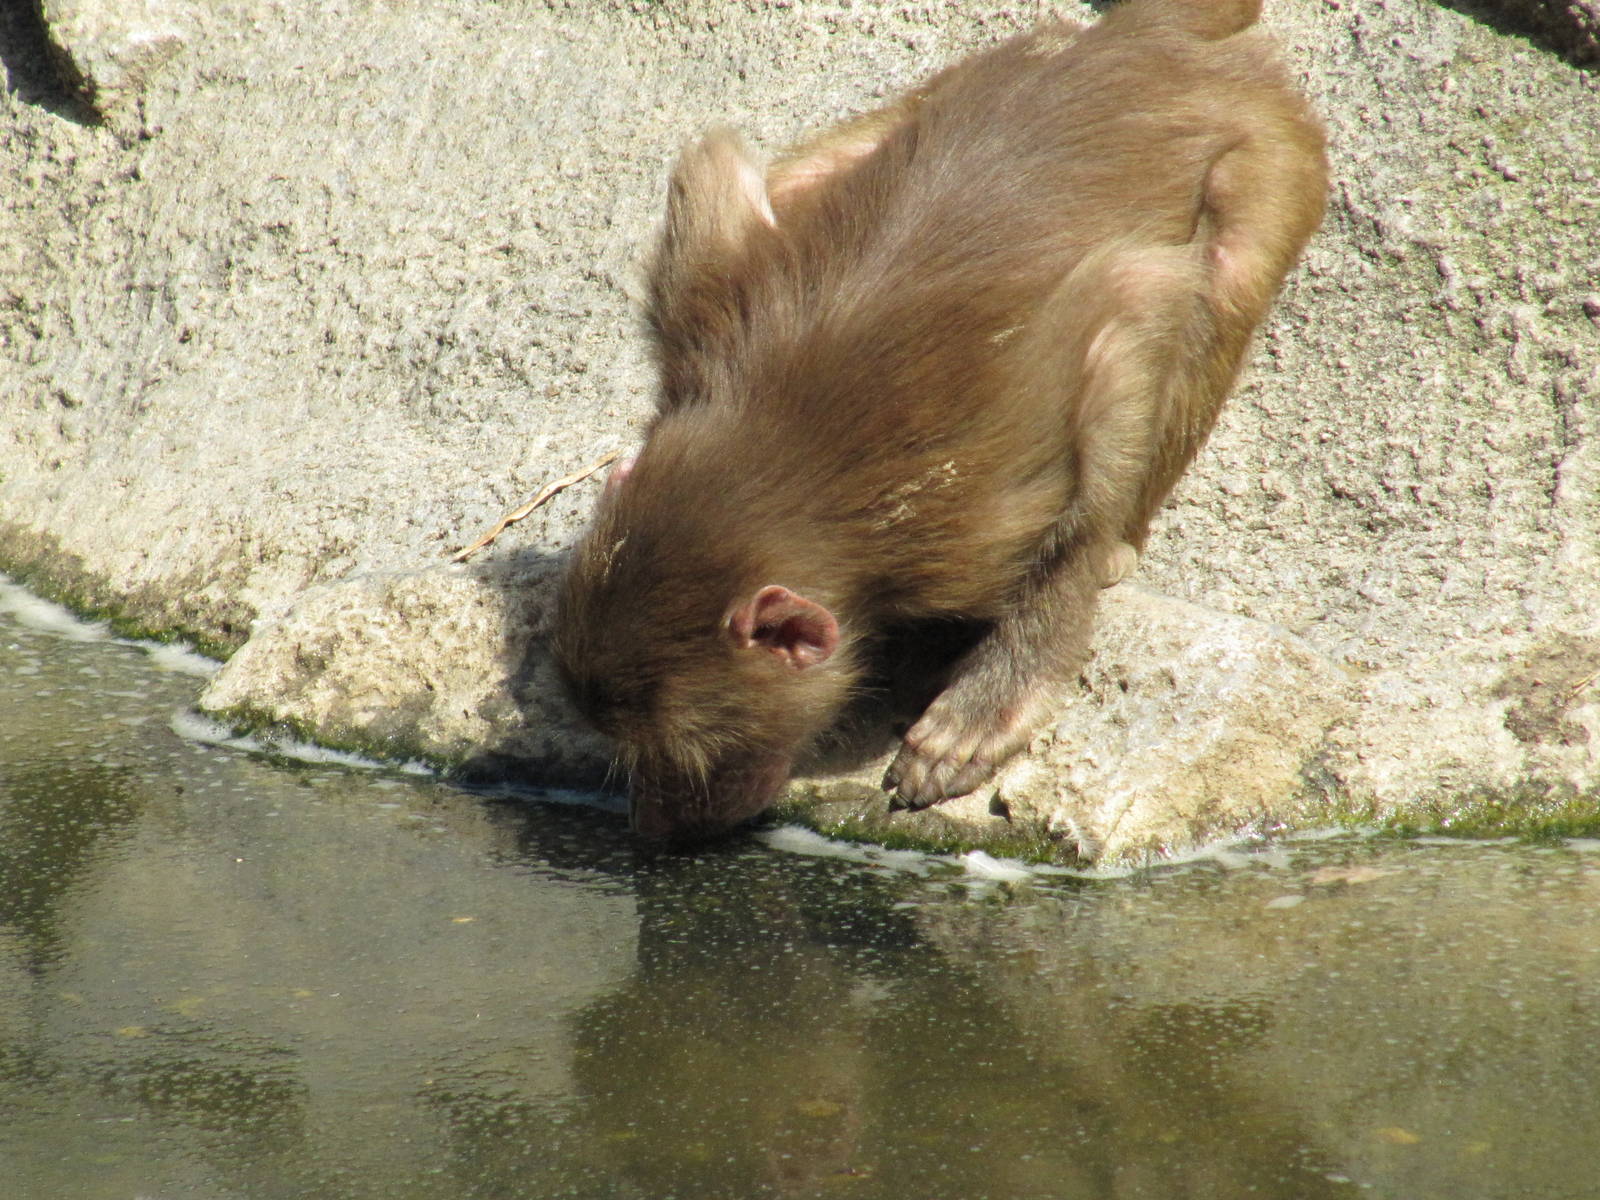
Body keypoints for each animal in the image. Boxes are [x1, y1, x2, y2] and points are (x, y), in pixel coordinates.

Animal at [552, 0, 1328, 842]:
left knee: (1224, 272)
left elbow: (1130, 311)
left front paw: (996, 697)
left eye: (685, 760)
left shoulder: (967, 519)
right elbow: (716, 177)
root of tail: (1150, 39)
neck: (782, 458)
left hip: (1272, 147)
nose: (652, 827)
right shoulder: (697, 303)